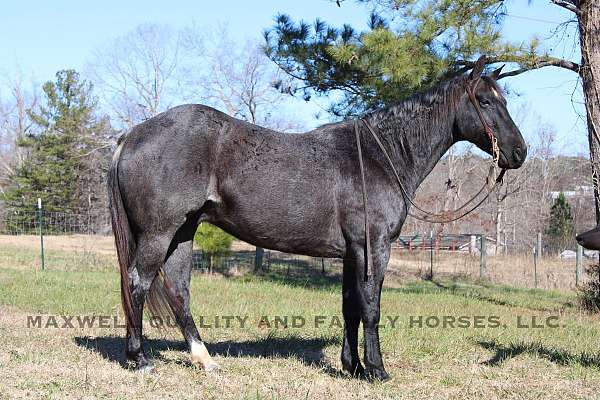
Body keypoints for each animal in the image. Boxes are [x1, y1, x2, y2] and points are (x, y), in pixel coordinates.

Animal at [108, 57, 524, 382]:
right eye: (484, 100)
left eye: (504, 100)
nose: (519, 152)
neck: (379, 156)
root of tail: (132, 135)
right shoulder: (374, 248)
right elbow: (371, 309)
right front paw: (376, 370)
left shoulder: (353, 253)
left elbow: (351, 308)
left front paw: (352, 367)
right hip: (160, 233)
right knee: (138, 282)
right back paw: (140, 359)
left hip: (183, 232)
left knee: (178, 291)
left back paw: (205, 360)